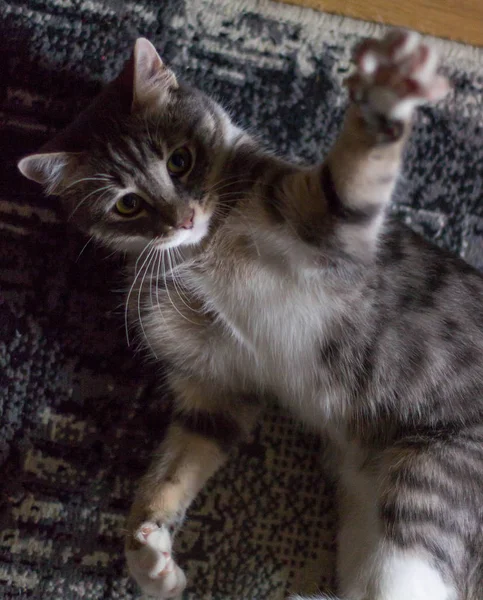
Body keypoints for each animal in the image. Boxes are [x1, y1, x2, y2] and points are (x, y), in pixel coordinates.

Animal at [17, 30, 483, 600]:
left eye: (180, 160)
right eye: (126, 205)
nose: (183, 219)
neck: (204, 247)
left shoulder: (326, 232)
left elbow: (345, 185)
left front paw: (388, 90)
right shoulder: (216, 384)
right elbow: (174, 467)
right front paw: (150, 558)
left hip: (433, 480)